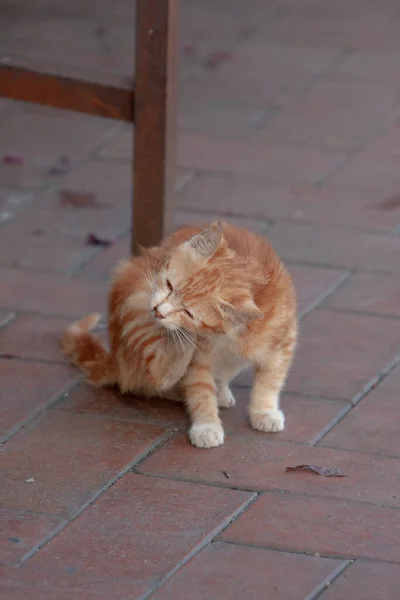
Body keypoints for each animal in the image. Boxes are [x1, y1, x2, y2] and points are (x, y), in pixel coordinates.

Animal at [62, 223, 296, 448]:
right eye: (169, 285)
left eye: (188, 312)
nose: (158, 311)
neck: (230, 336)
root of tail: (116, 360)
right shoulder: (198, 360)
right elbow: (200, 389)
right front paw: (206, 426)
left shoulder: (283, 340)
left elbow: (270, 379)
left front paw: (264, 411)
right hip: (135, 295)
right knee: (156, 376)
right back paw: (180, 351)